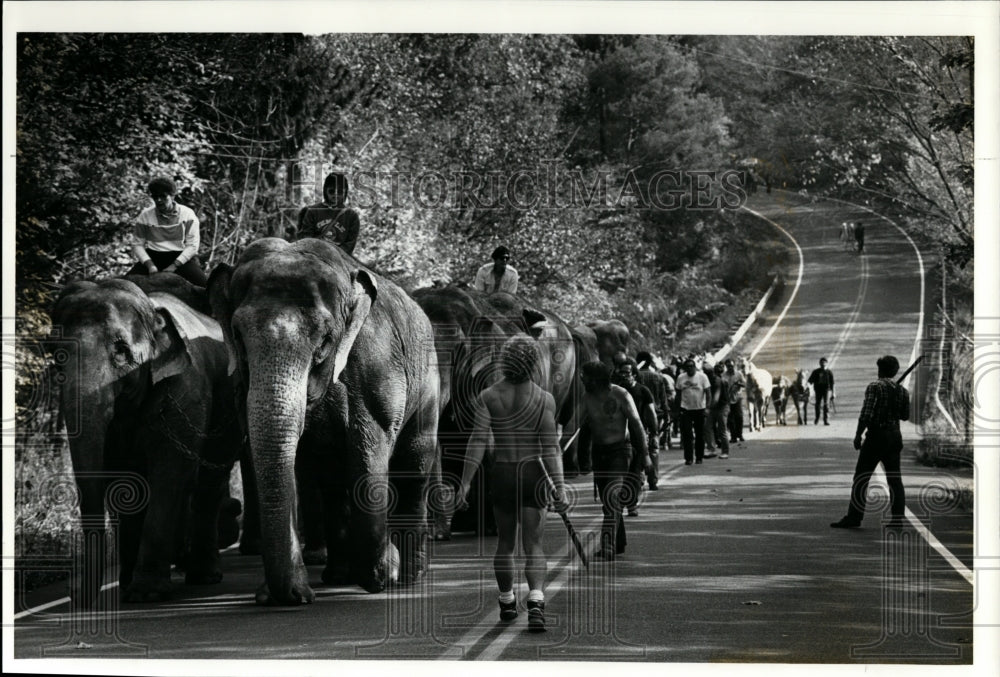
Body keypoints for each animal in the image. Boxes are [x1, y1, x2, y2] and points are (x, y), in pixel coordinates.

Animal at [50, 272, 244, 604]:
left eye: (121, 352)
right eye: (56, 354)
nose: (78, 598)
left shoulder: (186, 388)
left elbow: (169, 470)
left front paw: (147, 593)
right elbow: (122, 480)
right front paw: (129, 587)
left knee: (208, 483)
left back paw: (204, 577)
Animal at [209, 236, 440, 604]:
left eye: (325, 341)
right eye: (237, 335)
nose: (289, 596)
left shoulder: (376, 368)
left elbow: (368, 444)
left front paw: (381, 576)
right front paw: (286, 595)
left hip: (428, 384)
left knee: (414, 465)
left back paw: (409, 576)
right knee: (332, 480)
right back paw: (338, 575)